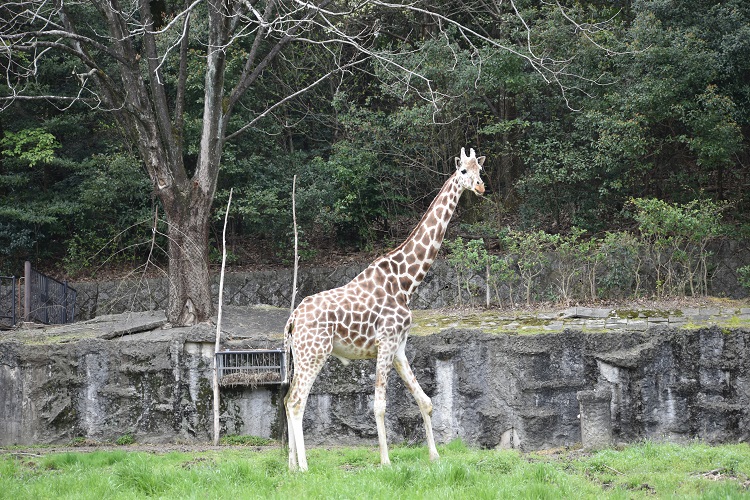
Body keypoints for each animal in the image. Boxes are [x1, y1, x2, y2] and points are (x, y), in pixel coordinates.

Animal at [284, 146, 488, 470]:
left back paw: (291, 465)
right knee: (296, 401)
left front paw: (435, 456)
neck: (405, 282)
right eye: (463, 172)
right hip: (314, 352)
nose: (480, 187)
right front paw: (386, 461)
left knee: (287, 399)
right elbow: (379, 406)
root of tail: (292, 320)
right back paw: (303, 467)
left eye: (481, 170)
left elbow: (426, 401)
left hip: (299, 355)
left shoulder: (399, 347)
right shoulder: (386, 341)